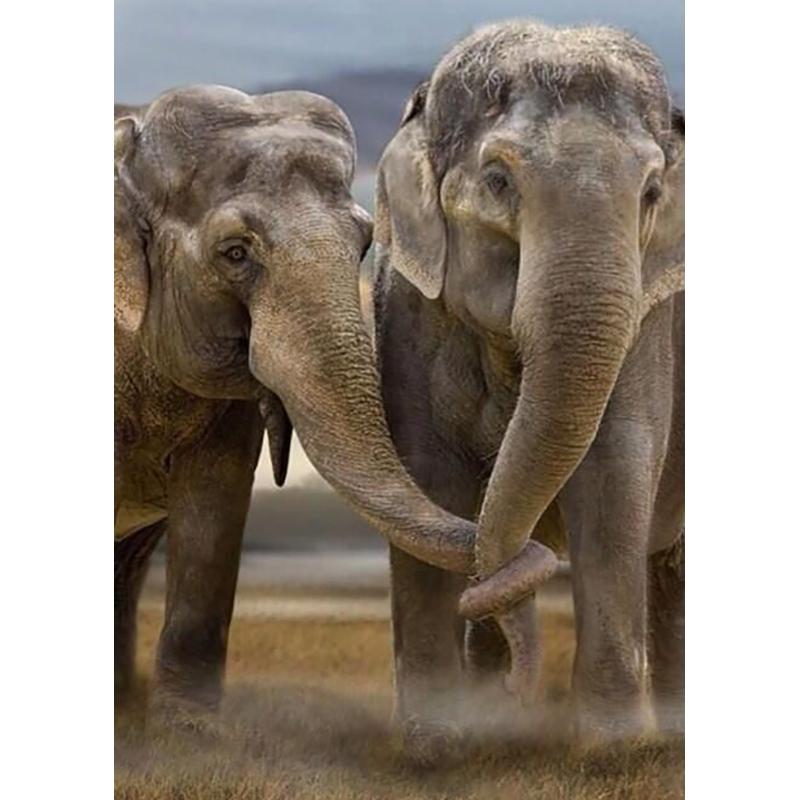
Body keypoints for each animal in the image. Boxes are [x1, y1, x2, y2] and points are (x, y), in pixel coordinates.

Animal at [372, 21, 685, 750]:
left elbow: (615, 470)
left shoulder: (648, 320)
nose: (519, 686)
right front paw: (434, 745)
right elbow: (428, 473)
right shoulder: (409, 308)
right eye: (496, 180)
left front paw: (613, 753)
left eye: (651, 194)